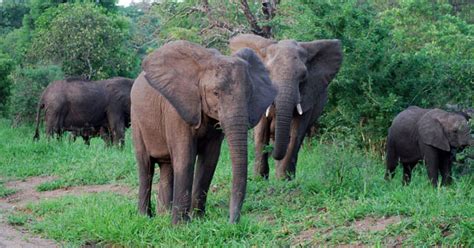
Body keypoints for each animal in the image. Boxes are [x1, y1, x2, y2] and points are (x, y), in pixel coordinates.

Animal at [131, 39, 278, 224]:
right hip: (136, 119)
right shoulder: (176, 111)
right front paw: (180, 226)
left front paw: (198, 220)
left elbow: (209, 161)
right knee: (145, 166)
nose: (232, 222)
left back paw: (163, 216)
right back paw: (145, 218)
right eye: (215, 93)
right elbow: (185, 158)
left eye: (249, 94)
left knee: (167, 166)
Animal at [229, 33, 342, 180]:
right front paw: (259, 179)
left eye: (303, 76)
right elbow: (261, 133)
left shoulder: (308, 96)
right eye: (268, 72)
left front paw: (283, 180)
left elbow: (295, 134)